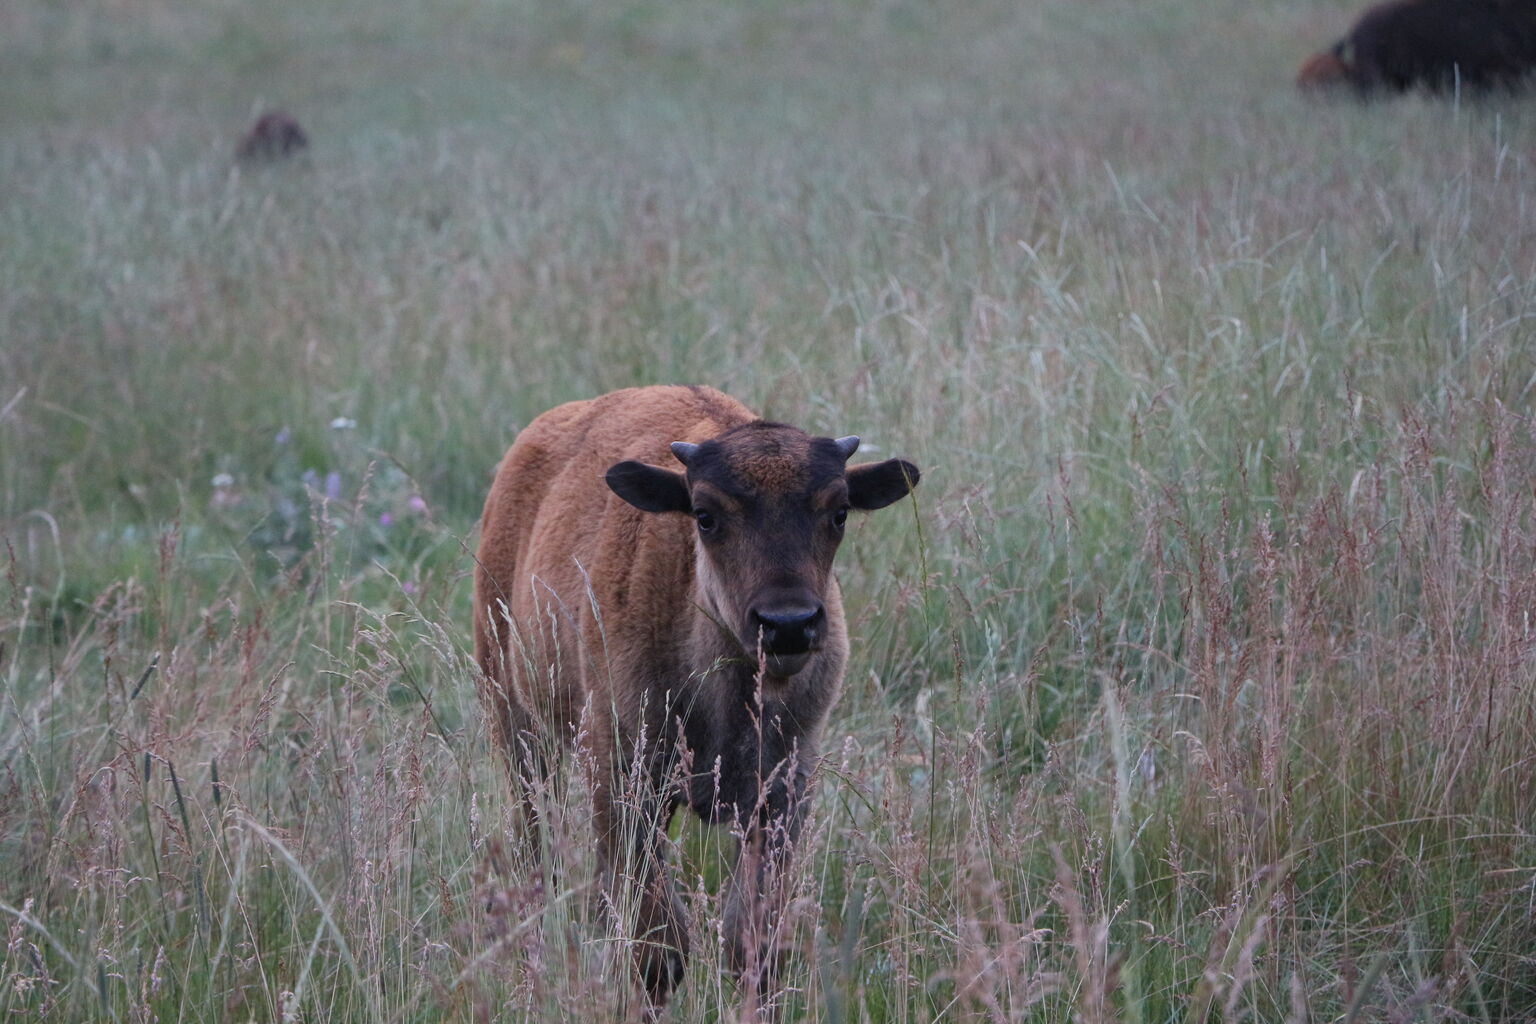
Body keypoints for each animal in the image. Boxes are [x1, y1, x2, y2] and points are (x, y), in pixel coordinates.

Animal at [473, 383, 915, 1007]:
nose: (787, 625)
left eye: (839, 511)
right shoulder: (625, 784)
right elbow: (659, 946)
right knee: (536, 852)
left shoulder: (782, 794)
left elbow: (752, 941)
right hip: (518, 726)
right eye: (705, 516)